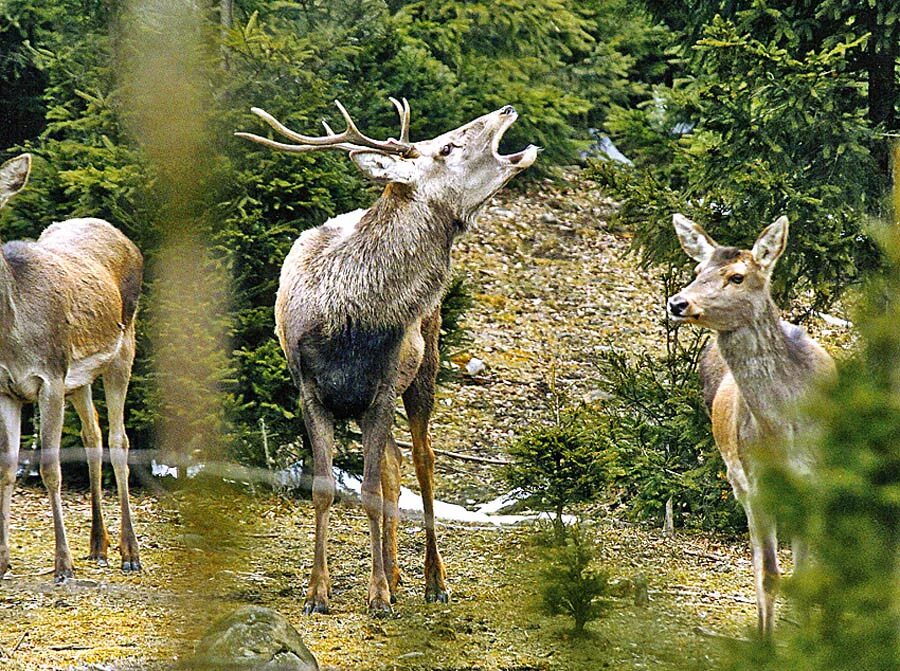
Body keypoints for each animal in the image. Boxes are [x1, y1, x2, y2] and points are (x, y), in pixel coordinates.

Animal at [0, 154, 143, 584]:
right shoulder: (6, 387)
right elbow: (7, 467)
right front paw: (3, 559)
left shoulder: (49, 376)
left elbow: (50, 467)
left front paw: (63, 564)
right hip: (78, 377)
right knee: (92, 435)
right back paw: (98, 546)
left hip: (123, 347)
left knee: (119, 440)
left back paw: (130, 552)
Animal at [236, 98, 536, 616]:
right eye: (447, 147)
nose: (506, 108)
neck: (347, 324)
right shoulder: (308, 391)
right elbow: (325, 488)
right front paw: (317, 593)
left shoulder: (379, 392)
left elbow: (372, 490)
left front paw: (376, 594)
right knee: (396, 466)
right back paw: (396, 574)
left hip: (425, 363)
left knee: (423, 460)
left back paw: (432, 581)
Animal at [668, 214, 836, 636]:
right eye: (697, 271)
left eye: (737, 276)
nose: (678, 302)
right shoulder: (758, 482)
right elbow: (769, 575)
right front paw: (767, 641)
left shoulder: (819, 484)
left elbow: (806, 574)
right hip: (738, 481)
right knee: (760, 563)